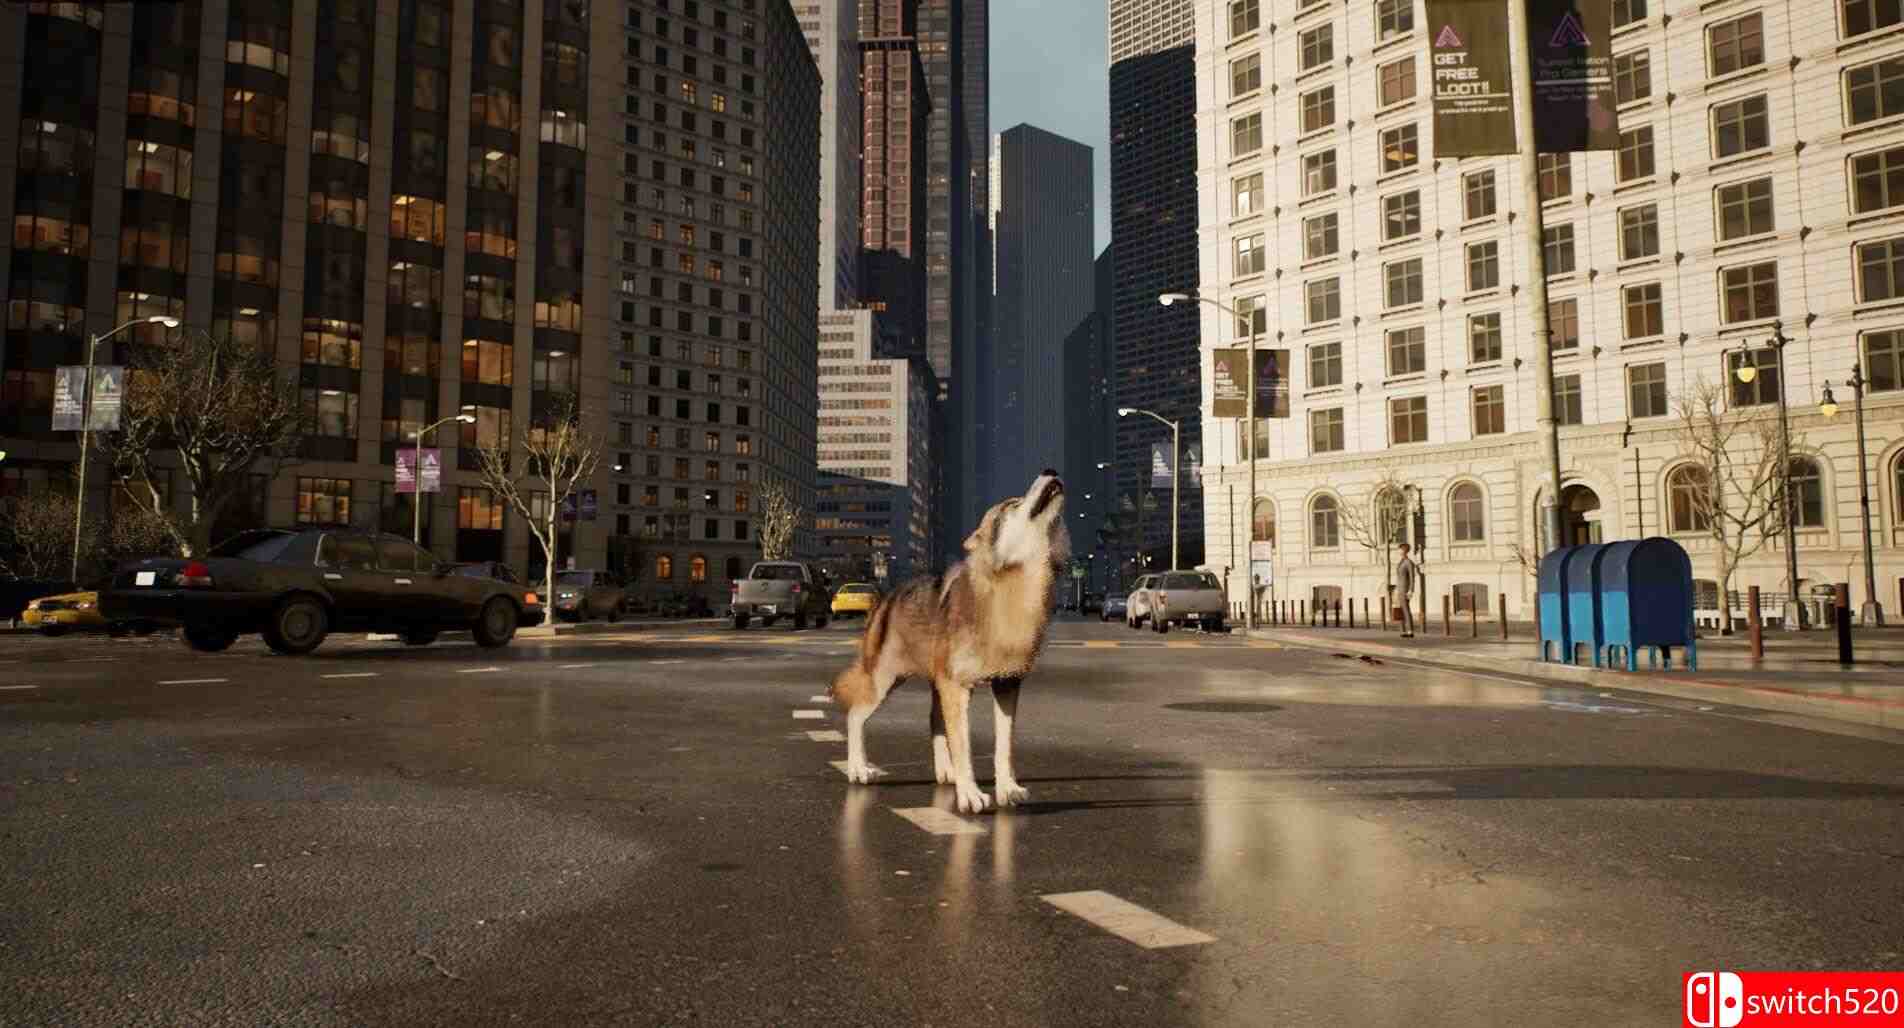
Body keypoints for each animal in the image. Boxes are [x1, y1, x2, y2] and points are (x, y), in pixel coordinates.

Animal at [829, 470, 1069, 814]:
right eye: (1013, 504)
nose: (1051, 470)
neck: (1015, 585)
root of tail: (884, 597)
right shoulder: (958, 687)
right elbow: (964, 745)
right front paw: (970, 795)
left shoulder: (1007, 684)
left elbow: (1004, 746)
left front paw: (1007, 789)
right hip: (886, 682)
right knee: (854, 715)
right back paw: (859, 769)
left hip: (932, 683)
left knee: (933, 721)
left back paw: (946, 773)